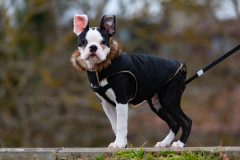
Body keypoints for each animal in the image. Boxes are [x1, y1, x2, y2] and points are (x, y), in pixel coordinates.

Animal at [70, 14, 192, 149]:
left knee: (186, 121)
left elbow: (122, 125)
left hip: (169, 100)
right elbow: (115, 125)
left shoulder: (121, 100)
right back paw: (164, 143)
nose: (93, 47)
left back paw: (180, 144)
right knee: (174, 123)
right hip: (156, 104)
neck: (102, 68)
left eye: (103, 42)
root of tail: (181, 67)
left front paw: (120, 144)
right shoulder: (106, 104)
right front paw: (122, 144)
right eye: (83, 42)